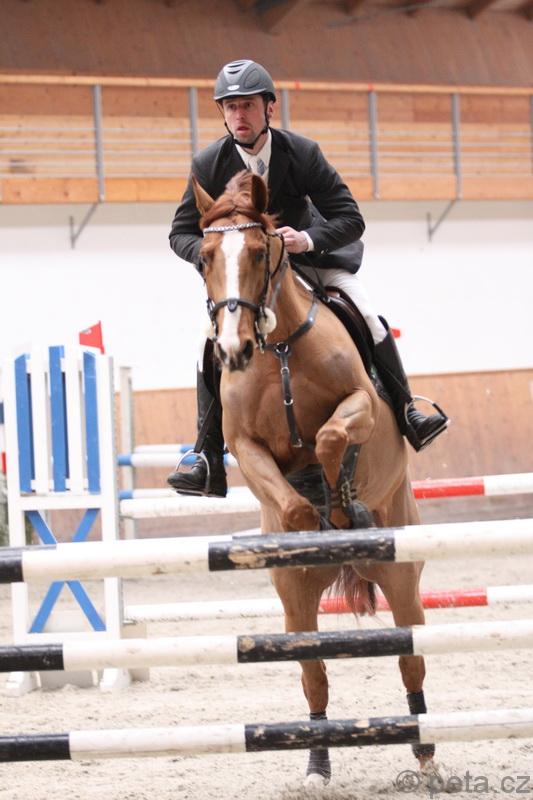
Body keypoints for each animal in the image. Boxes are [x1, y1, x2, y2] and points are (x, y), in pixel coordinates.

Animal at [192, 170, 439, 787]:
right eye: (205, 256)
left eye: (260, 251)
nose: (233, 349)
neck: (278, 343)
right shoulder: (246, 447)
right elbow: (295, 503)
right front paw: (316, 523)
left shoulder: (360, 406)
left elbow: (331, 439)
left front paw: (347, 503)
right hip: (295, 603)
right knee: (314, 673)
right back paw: (316, 765)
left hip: (403, 576)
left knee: (410, 659)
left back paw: (426, 757)